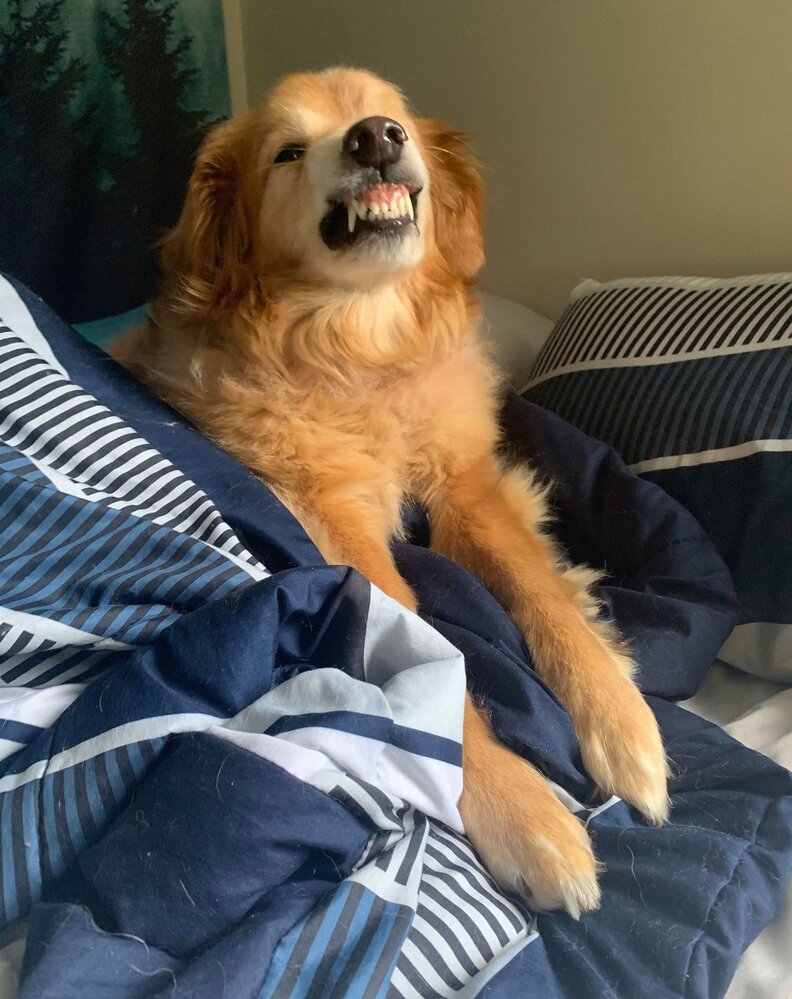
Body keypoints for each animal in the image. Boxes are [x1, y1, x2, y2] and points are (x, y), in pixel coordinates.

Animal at [114, 67, 668, 918]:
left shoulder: (465, 488)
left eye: (390, 115)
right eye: (288, 151)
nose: (374, 137)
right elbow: (438, 668)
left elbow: (540, 591)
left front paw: (622, 720)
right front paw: (527, 817)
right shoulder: (340, 533)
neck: (361, 351)